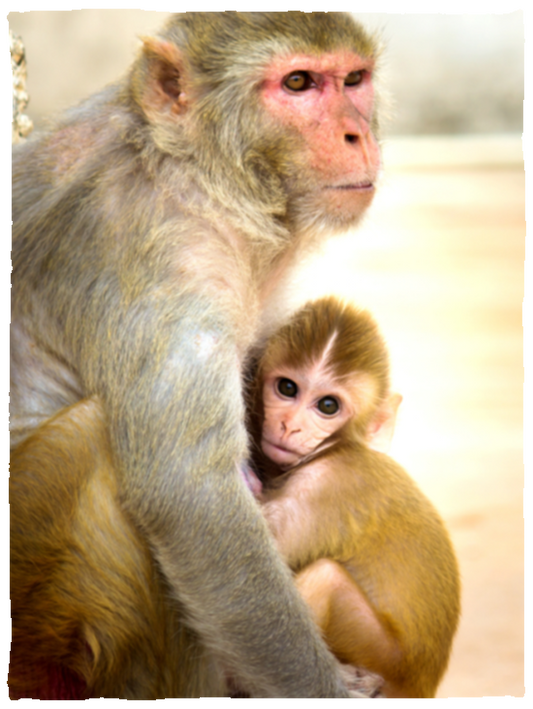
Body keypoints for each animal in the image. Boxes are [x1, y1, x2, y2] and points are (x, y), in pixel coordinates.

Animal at [9, 6, 382, 704]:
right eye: (297, 83)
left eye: (353, 80)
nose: (357, 133)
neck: (192, 173)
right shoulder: (161, 261)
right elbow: (192, 499)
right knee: (92, 437)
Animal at [243, 296, 460, 700]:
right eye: (287, 388)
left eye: (328, 406)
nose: (290, 426)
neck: (336, 448)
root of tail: (422, 686)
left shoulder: (324, 486)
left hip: (384, 657)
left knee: (323, 578)